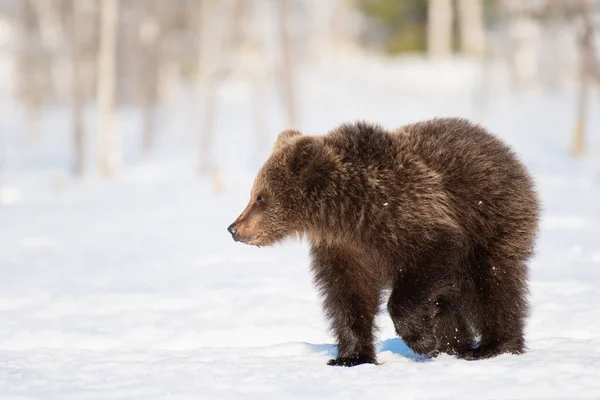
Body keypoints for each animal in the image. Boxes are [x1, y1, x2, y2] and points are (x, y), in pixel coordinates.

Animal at [227, 117, 540, 368]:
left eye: (260, 197)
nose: (234, 228)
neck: (346, 215)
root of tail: (503, 148)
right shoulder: (346, 249)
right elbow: (348, 296)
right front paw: (351, 356)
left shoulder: (409, 215)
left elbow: (427, 262)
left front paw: (422, 339)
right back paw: (455, 345)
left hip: (492, 218)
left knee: (491, 283)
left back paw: (494, 346)